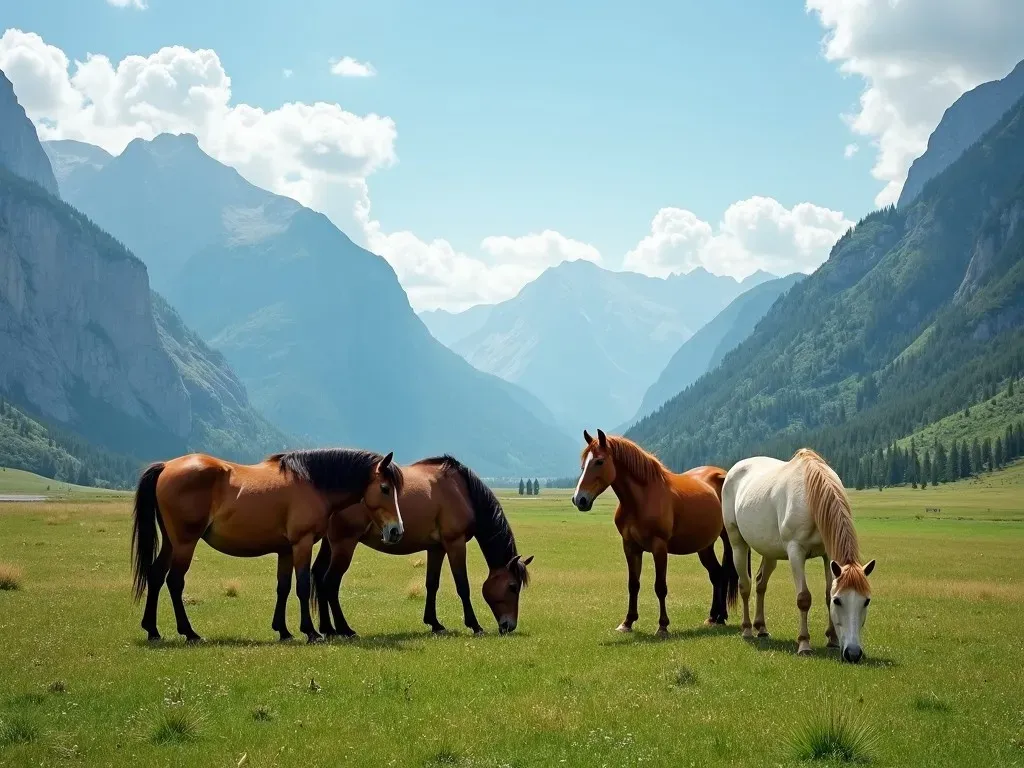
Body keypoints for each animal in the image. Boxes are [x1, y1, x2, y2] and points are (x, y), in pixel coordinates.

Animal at [134, 448, 405, 647]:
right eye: (384, 488)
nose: (396, 531)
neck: (311, 482)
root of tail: (166, 466)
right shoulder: (302, 543)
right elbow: (302, 585)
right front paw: (311, 632)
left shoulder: (285, 550)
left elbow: (283, 587)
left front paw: (283, 630)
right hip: (185, 543)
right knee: (174, 581)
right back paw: (189, 632)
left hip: (171, 542)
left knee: (156, 576)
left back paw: (153, 630)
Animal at [309, 454, 536, 638]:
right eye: (512, 587)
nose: (509, 626)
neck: (461, 490)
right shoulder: (455, 543)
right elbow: (463, 585)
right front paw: (475, 625)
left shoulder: (437, 548)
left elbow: (432, 584)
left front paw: (434, 623)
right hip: (344, 544)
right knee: (330, 581)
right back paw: (344, 629)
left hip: (330, 545)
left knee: (319, 576)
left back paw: (327, 629)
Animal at [573, 430, 741, 634]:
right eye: (583, 463)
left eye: (599, 461)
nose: (579, 499)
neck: (641, 499)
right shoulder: (630, 547)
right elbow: (633, 584)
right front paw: (627, 622)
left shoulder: (659, 547)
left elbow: (660, 587)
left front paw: (662, 626)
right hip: (705, 545)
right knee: (717, 575)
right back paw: (713, 617)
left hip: (725, 538)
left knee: (723, 574)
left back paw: (721, 617)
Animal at [720, 448, 880, 663]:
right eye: (839, 601)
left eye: (866, 600)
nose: (853, 653)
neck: (811, 499)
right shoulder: (796, 552)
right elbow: (804, 597)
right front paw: (804, 644)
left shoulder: (827, 555)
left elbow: (826, 592)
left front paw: (832, 640)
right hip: (738, 543)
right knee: (745, 585)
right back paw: (747, 630)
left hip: (769, 551)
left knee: (761, 584)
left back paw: (761, 628)